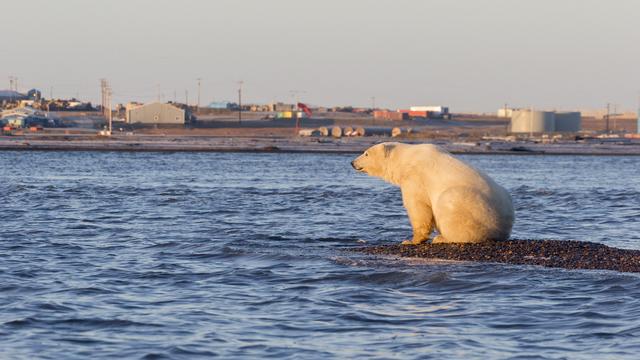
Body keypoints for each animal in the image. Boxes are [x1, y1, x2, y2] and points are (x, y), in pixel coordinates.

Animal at [352, 142, 512, 243]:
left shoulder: (416, 177)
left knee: (450, 204)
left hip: (474, 207)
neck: (407, 158)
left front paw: (411, 240)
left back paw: (442, 238)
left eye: (366, 153)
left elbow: (418, 206)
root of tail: (503, 228)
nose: (352, 162)